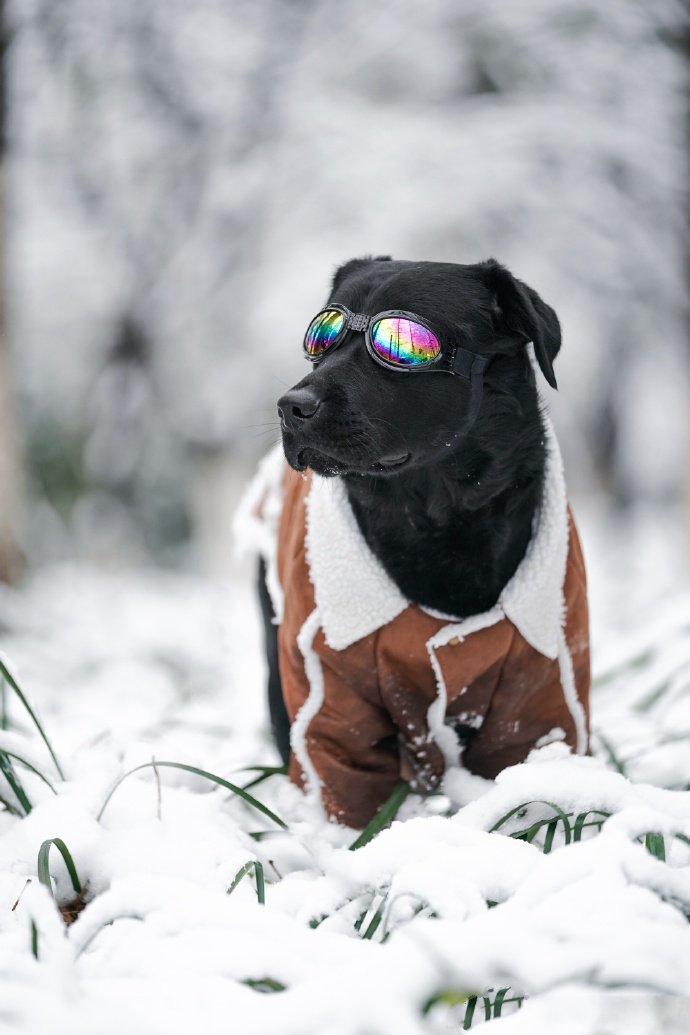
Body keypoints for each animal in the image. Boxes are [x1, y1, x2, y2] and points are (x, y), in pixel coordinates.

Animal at [261, 254, 562, 765]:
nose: (290, 406)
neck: (437, 520)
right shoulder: (332, 693)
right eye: (322, 335)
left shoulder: (537, 688)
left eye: (402, 344)